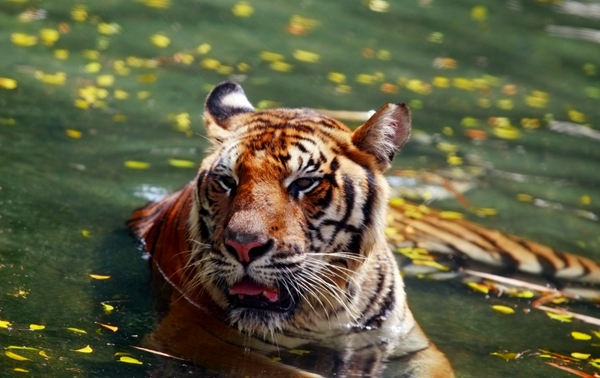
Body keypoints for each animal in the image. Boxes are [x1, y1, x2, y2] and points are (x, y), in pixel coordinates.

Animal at [129, 81, 452, 376]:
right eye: (228, 181)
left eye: (304, 182)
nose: (243, 247)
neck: (323, 315)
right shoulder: (194, 334)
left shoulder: (412, 346)